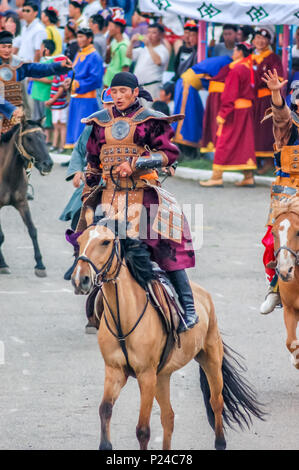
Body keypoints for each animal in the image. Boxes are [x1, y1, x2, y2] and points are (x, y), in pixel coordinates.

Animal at [0, 119, 52, 278]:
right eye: (29, 138)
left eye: (44, 136)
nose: (48, 164)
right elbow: (0, 235)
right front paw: (2, 263)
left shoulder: (22, 203)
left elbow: (32, 230)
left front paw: (40, 265)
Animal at [72, 210, 264, 452]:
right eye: (80, 241)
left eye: (105, 242)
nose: (80, 279)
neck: (124, 318)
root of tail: (204, 296)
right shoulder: (115, 370)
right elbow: (105, 409)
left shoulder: (146, 375)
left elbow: (143, 429)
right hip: (162, 376)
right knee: (169, 416)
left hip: (210, 358)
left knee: (216, 402)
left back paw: (220, 443)